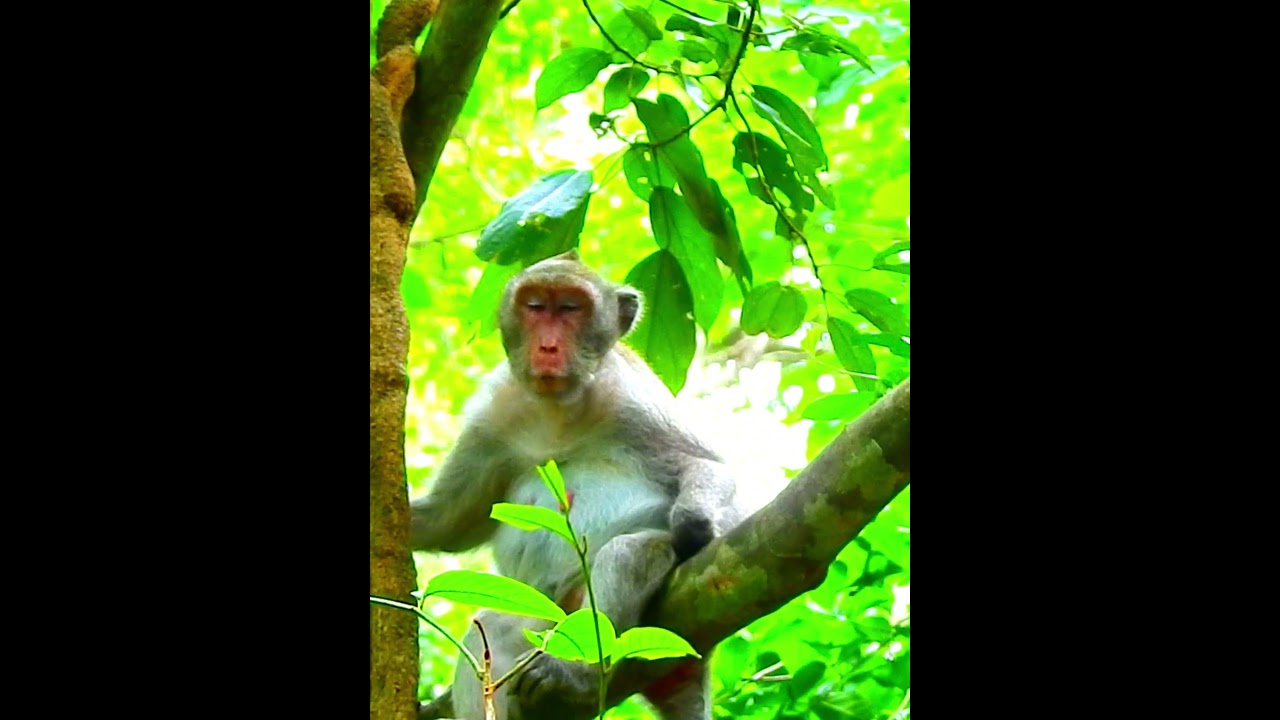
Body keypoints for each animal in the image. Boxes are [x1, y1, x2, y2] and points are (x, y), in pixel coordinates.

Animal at [409, 250, 752, 720]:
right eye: (535, 306)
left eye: (571, 308)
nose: (548, 346)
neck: (558, 411)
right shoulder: (491, 419)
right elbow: (449, 523)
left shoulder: (634, 400)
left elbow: (708, 469)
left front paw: (695, 522)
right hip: (542, 620)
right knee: (489, 633)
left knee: (626, 556)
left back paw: (578, 675)